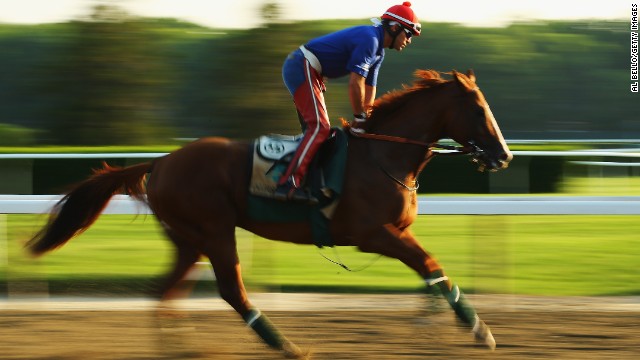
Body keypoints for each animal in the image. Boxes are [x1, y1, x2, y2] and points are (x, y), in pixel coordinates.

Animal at [27, 69, 512, 358]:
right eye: (479, 109)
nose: (503, 155)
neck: (383, 156)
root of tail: (161, 162)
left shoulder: (397, 231)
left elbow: (431, 274)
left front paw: (431, 326)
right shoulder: (374, 233)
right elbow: (432, 265)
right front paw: (479, 331)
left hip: (188, 240)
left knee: (164, 292)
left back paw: (181, 348)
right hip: (215, 230)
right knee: (231, 292)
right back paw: (287, 346)